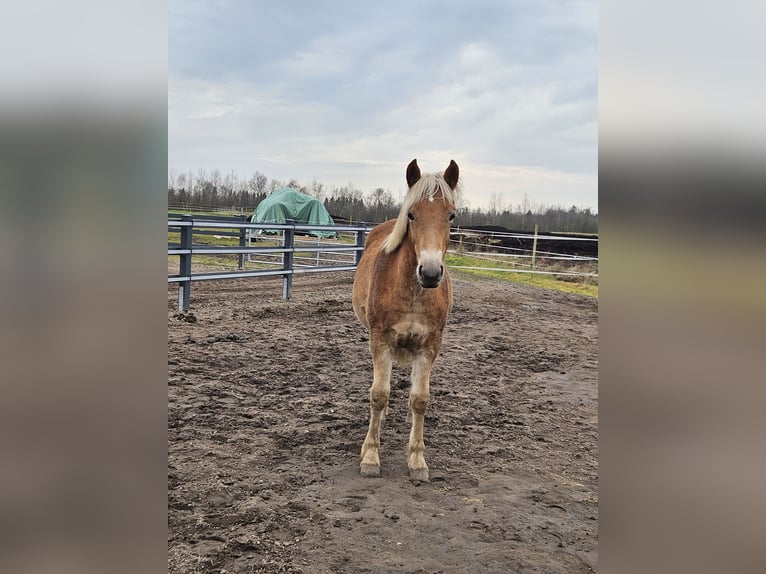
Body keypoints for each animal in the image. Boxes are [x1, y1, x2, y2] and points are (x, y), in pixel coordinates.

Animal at [356, 160, 462, 484]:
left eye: (451, 215)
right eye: (412, 214)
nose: (430, 272)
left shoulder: (430, 345)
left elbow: (420, 399)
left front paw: (417, 460)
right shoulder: (380, 340)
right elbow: (379, 394)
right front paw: (370, 456)